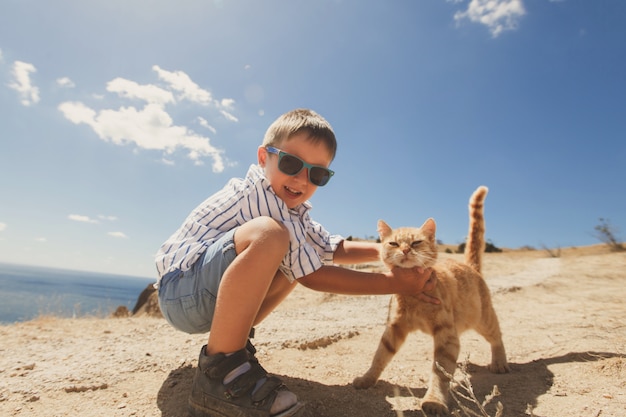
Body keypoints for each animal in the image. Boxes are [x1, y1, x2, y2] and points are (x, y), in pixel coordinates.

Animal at [352, 187, 508, 414]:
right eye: (394, 243)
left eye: (416, 242)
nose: (405, 250)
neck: (413, 297)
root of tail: (470, 266)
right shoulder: (394, 328)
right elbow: (379, 356)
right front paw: (367, 379)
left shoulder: (446, 336)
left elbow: (439, 372)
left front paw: (434, 401)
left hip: (483, 319)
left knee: (497, 336)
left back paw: (500, 362)